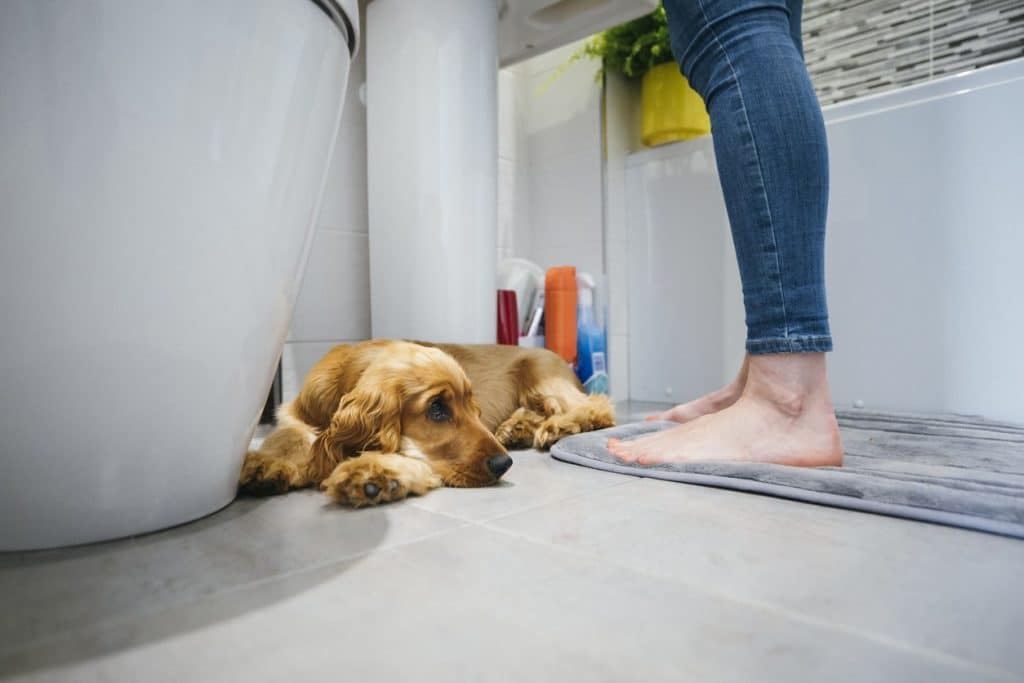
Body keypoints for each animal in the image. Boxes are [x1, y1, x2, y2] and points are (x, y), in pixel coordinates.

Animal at [239, 339, 614, 507]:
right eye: (436, 409)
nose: (503, 463)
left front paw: (373, 474)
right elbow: (286, 437)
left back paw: (560, 426)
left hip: (539, 372)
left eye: (474, 408)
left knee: (599, 407)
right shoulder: (295, 414)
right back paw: (517, 428)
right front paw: (263, 464)